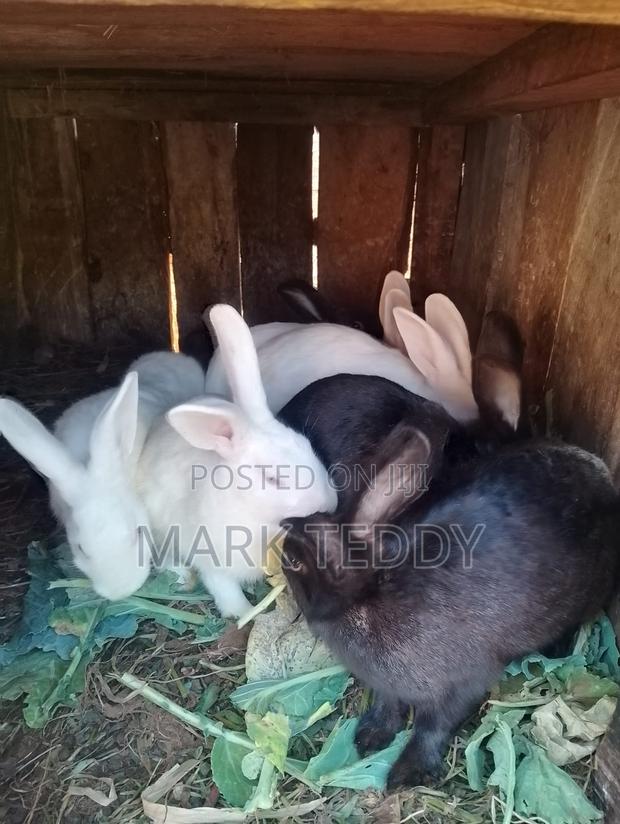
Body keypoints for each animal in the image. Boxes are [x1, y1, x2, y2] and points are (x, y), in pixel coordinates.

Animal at [137, 304, 338, 619]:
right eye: (272, 477)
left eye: (308, 447)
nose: (329, 504)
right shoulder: (214, 560)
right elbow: (225, 591)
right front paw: (244, 612)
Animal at [281, 427, 620, 789]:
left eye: (293, 561)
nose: (283, 532)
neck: (368, 599)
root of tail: (602, 478)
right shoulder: (388, 687)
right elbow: (389, 705)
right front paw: (370, 736)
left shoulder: (460, 686)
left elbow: (432, 727)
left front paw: (406, 773)